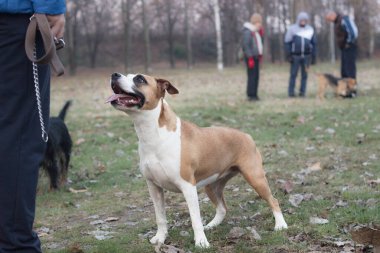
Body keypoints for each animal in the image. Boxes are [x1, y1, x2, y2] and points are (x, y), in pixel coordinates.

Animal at [105, 72, 286, 248]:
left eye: (140, 79)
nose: (114, 75)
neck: (153, 133)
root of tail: (246, 135)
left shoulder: (188, 187)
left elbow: (195, 219)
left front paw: (201, 242)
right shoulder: (154, 187)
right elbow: (160, 217)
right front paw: (160, 238)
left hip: (255, 178)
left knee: (273, 200)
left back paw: (280, 225)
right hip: (211, 186)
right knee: (222, 208)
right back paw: (212, 225)